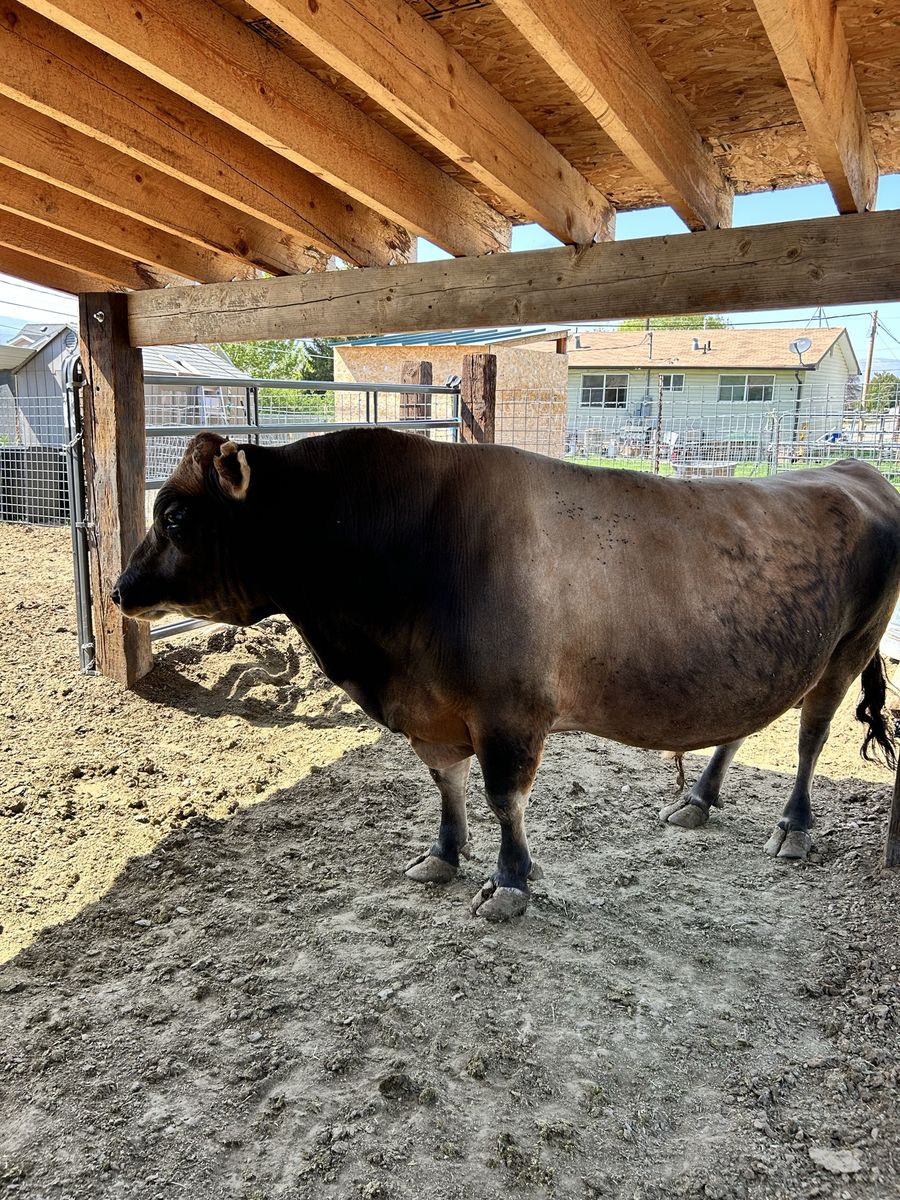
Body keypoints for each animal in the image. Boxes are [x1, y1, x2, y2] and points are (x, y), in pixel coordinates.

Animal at [113, 429, 900, 921]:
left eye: (175, 514)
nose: (119, 590)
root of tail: (858, 471)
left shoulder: (508, 713)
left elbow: (502, 799)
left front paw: (509, 883)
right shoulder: (434, 710)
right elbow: (447, 786)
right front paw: (442, 855)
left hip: (849, 648)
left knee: (810, 737)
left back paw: (794, 828)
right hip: (764, 660)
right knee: (743, 725)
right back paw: (699, 799)